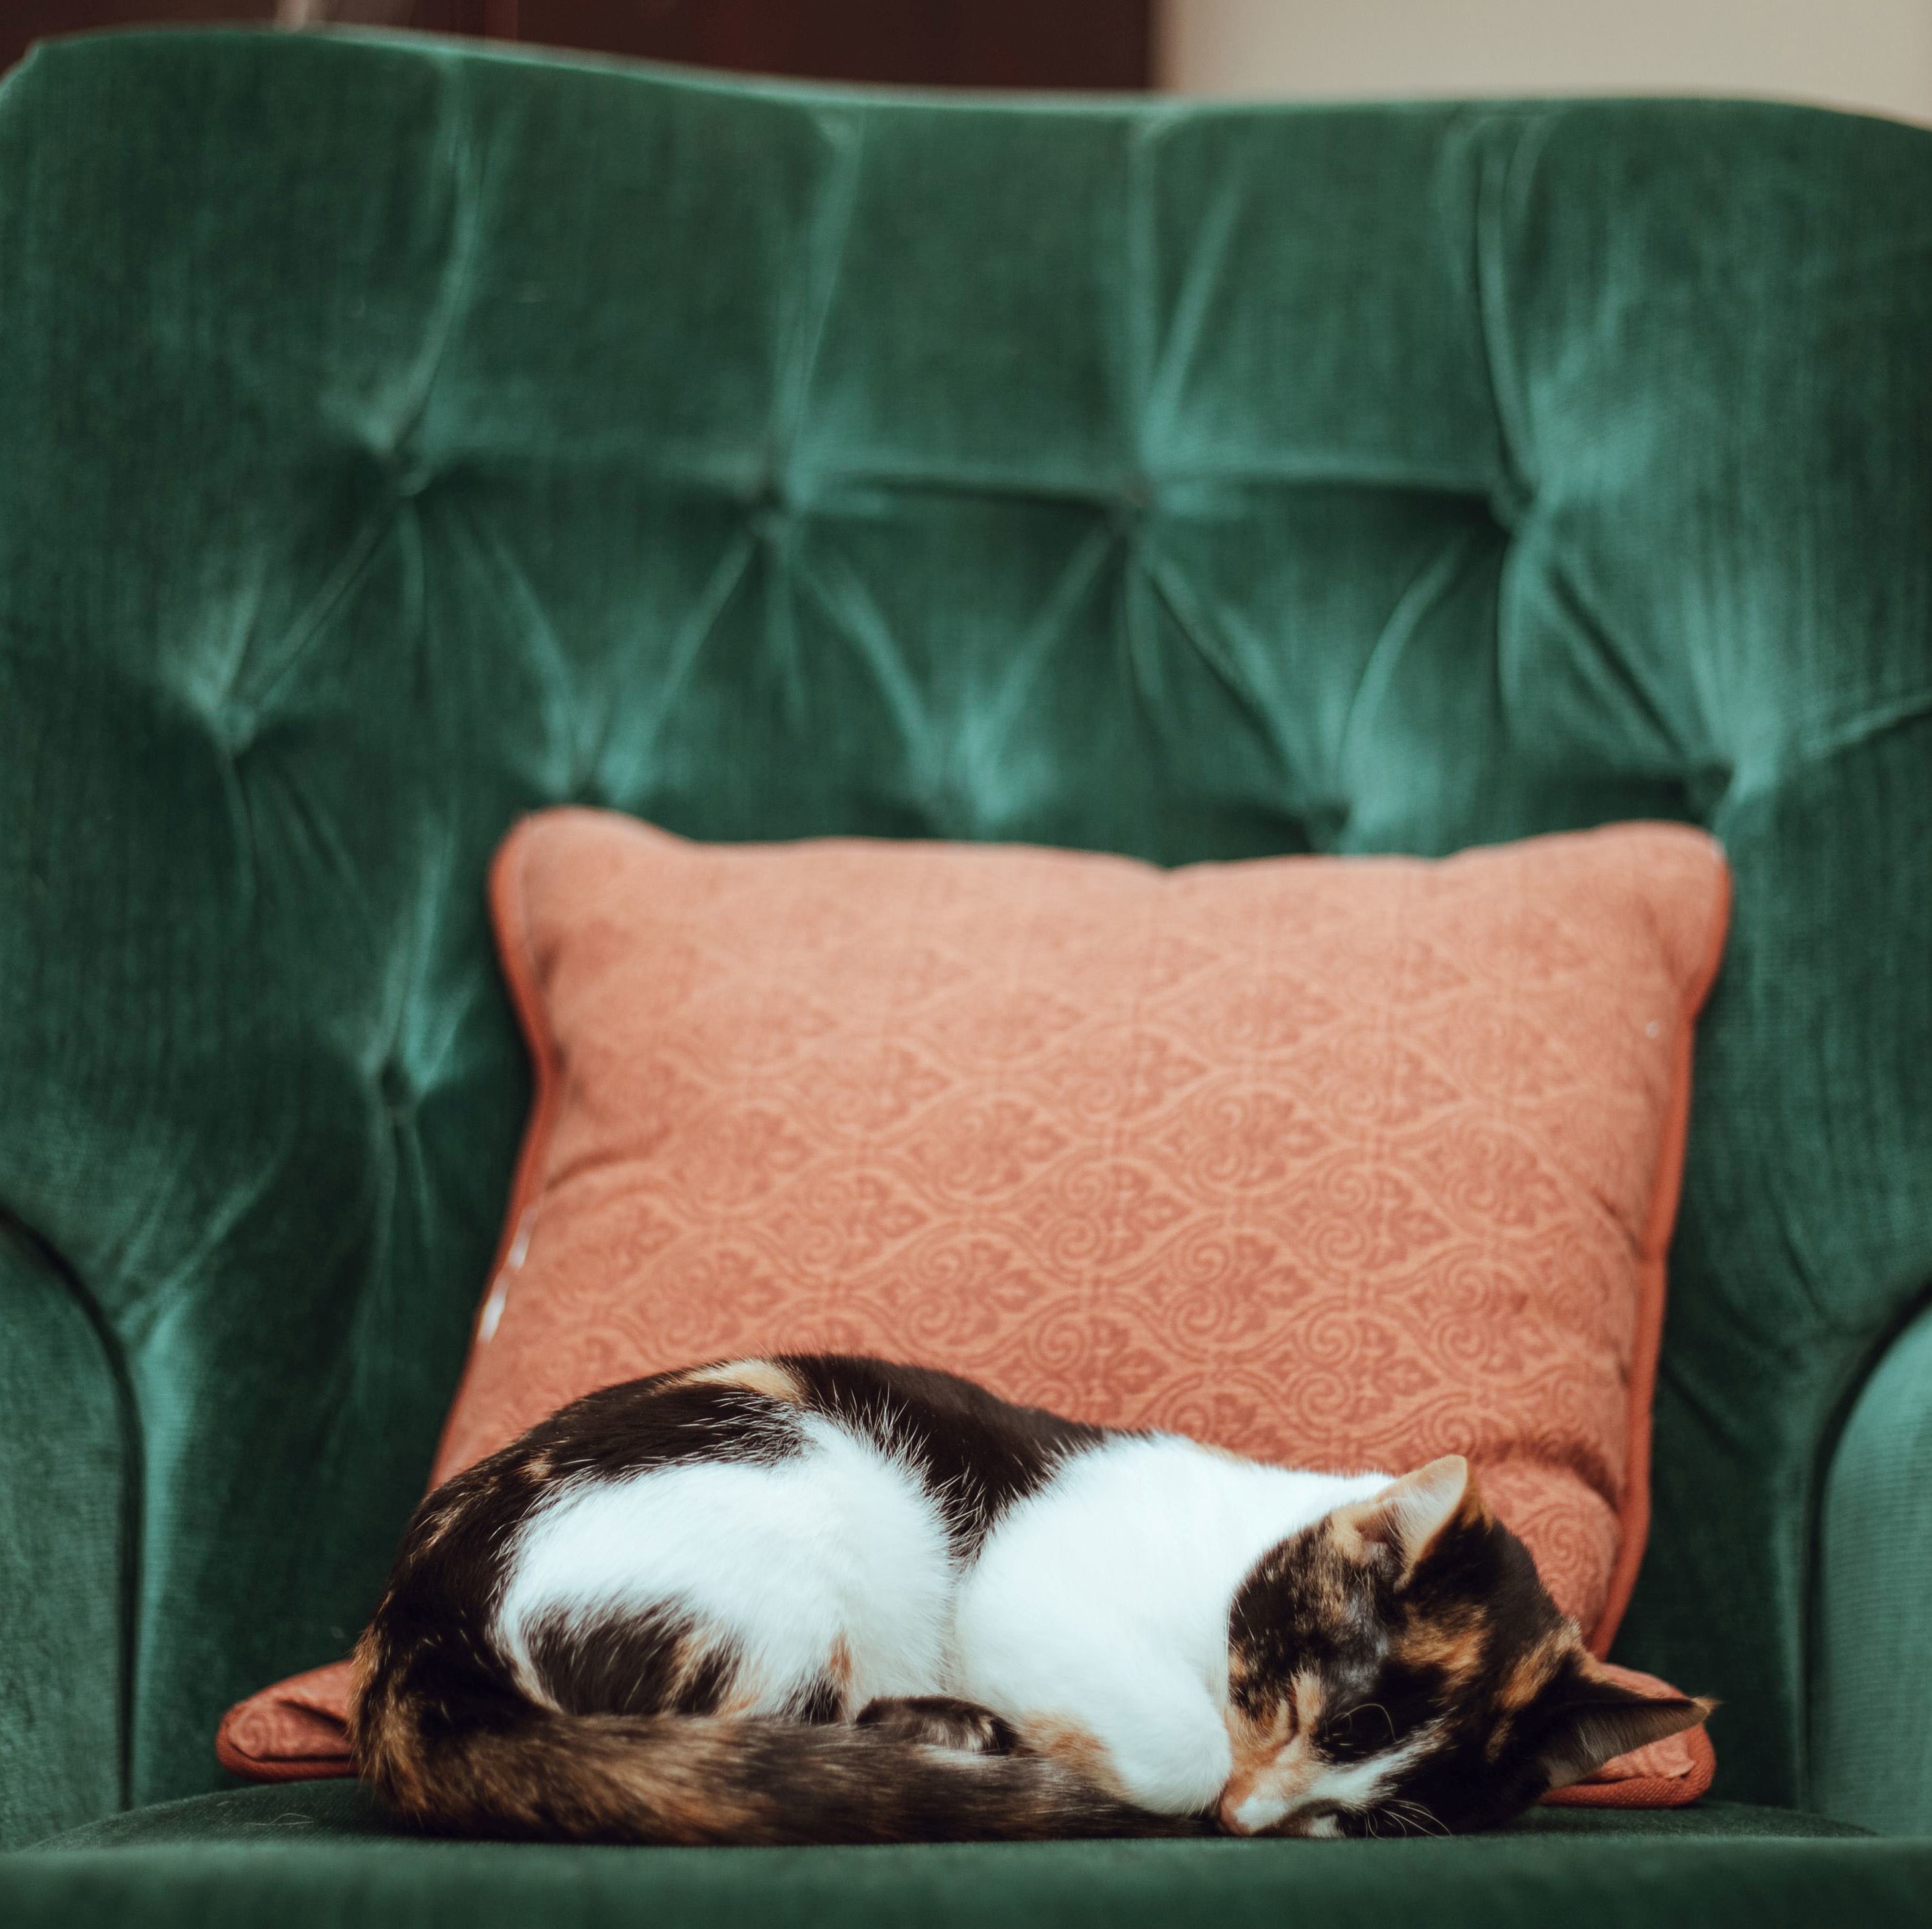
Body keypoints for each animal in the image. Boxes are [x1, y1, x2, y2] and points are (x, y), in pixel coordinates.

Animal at [355, 1353, 1716, 1847]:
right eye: (1284, 1707)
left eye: (1358, 1815)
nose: (1243, 1820)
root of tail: (417, 1612)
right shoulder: (1024, 1577)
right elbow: (1169, 1740)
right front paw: (1147, 1775)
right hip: (814, 1493)